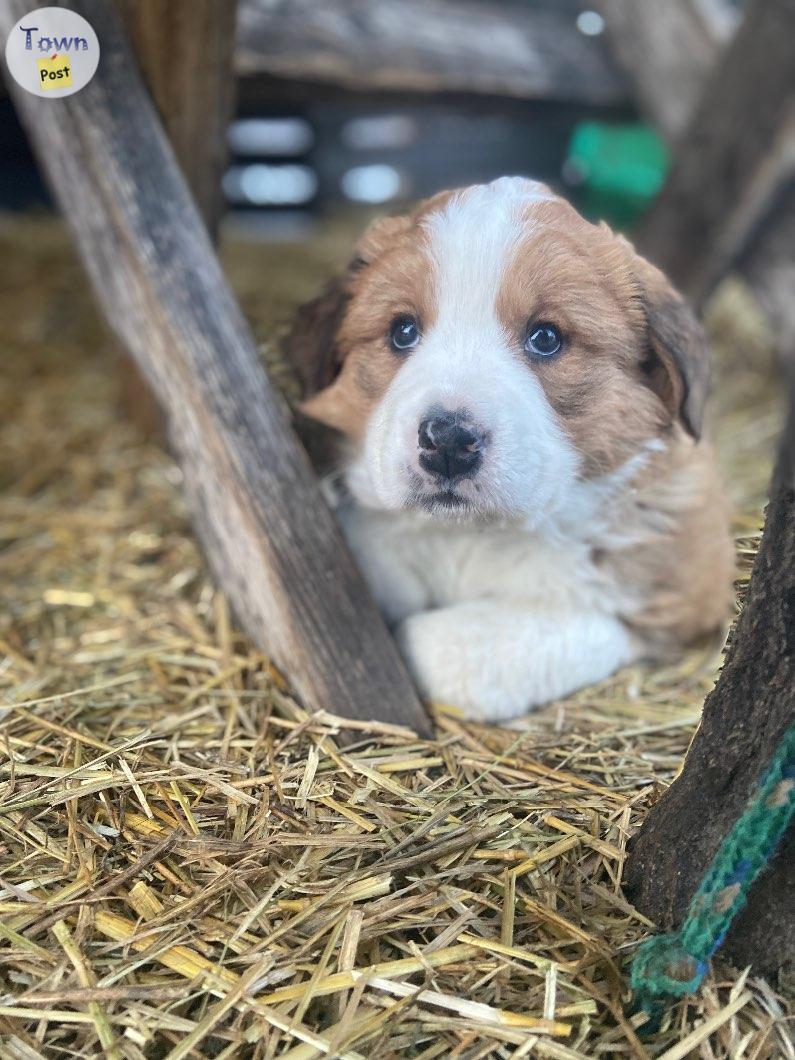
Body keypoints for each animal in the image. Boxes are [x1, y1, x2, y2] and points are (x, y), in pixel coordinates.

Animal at [288, 178, 733, 720]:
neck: (469, 536)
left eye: (546, 338)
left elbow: (454, 647)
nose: (448, 441)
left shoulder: (676, 589)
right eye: (402, 331)